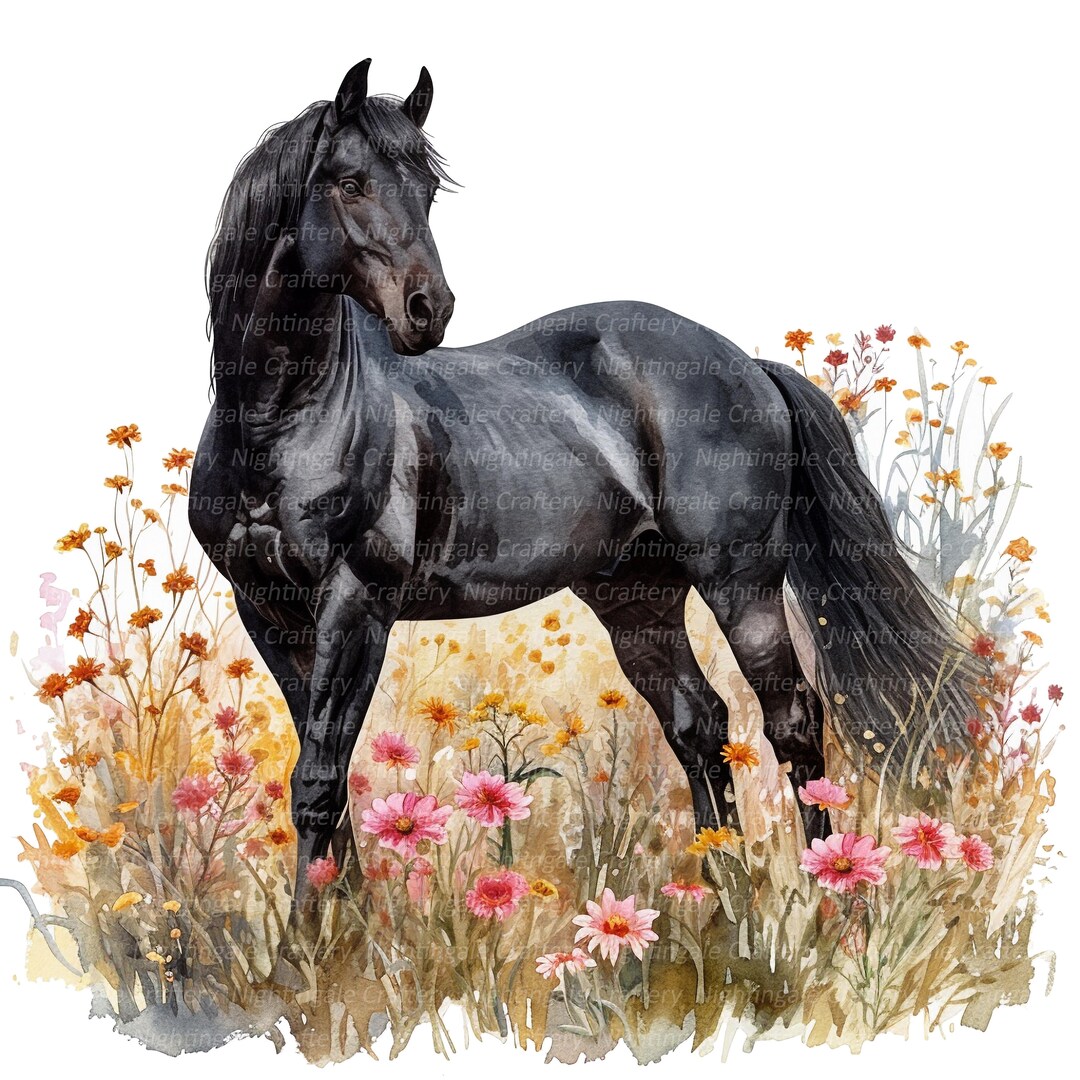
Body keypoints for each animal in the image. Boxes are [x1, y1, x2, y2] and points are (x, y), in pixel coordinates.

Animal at [191, 60, 976, 914]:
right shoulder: (268, 609)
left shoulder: (356, 600)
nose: (428, 310)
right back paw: (717, 893)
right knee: (699, 722)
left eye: (427, 188)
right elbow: (321, 775)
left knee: (791, 720)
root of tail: (744, 362)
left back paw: (823, 892)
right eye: (350, 181)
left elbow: (320, 781)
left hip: (743, 586)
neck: (281, 420)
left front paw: (312, 935)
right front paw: (345, 919)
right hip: (636, 598)